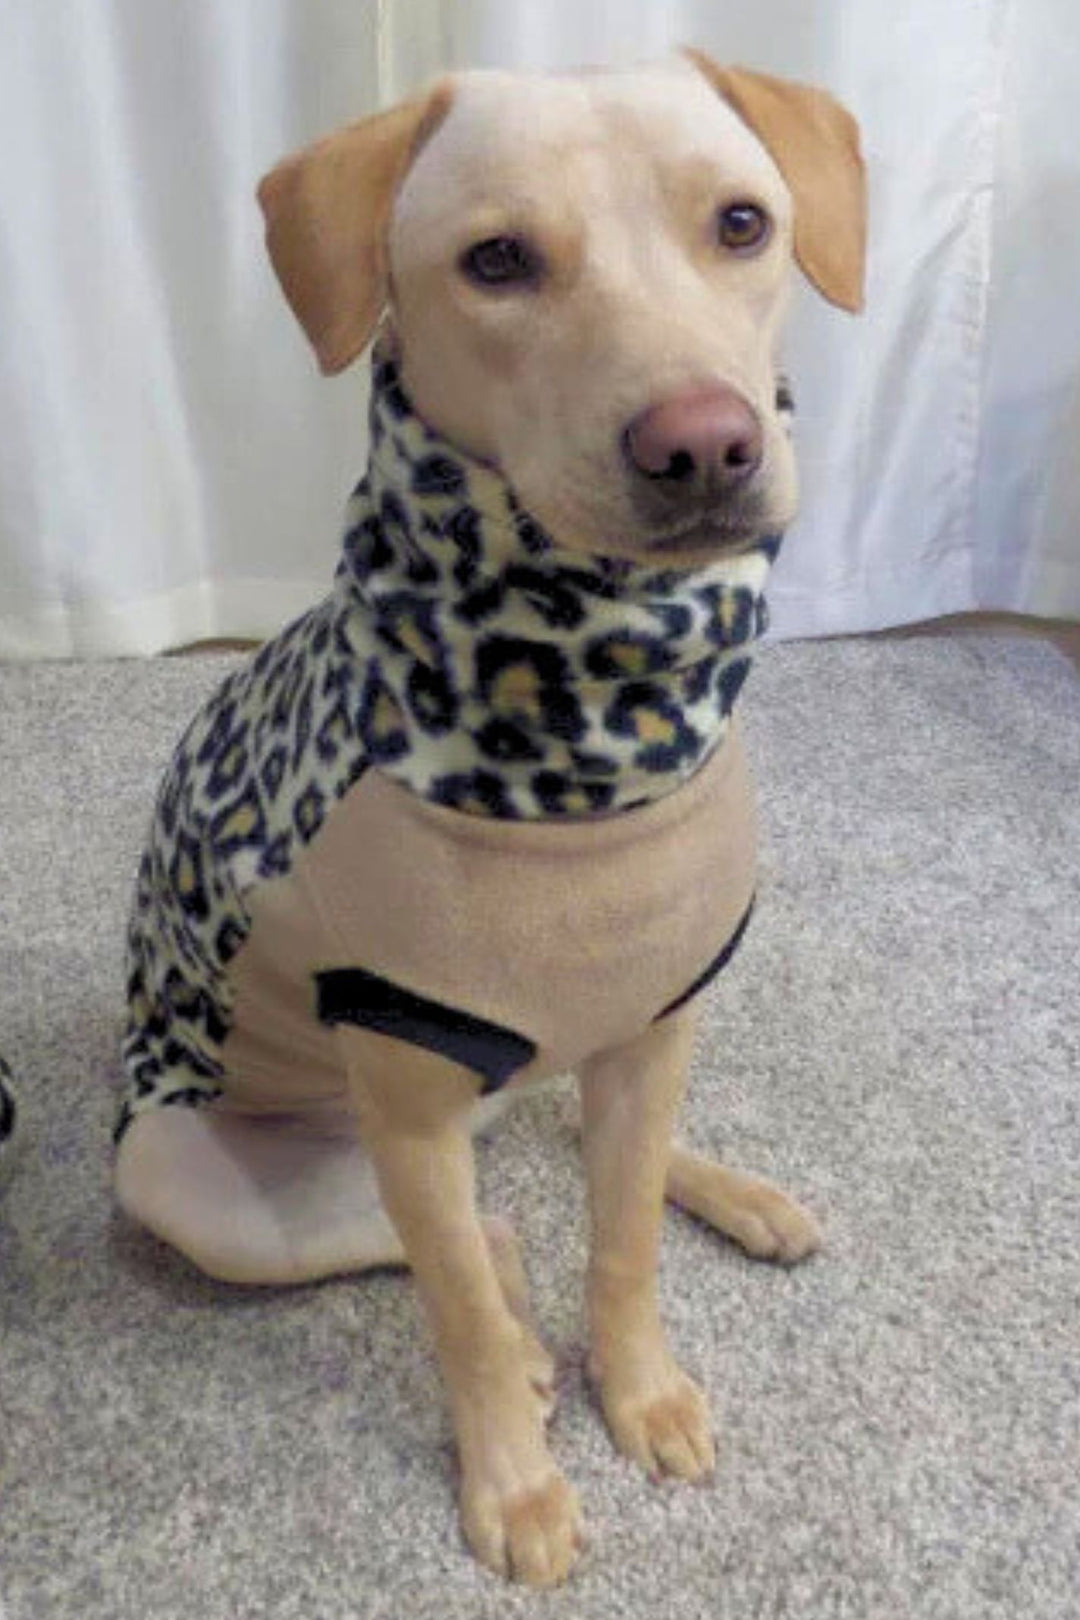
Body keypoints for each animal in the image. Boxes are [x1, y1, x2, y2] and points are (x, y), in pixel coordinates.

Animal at [114, 47, 867, 1581]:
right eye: (498, 261)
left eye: (743, 225)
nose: (706, 444)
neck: (588, 733)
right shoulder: (410, 1097)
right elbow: (460, 1304)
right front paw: (516, 1481)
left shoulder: (656, 1024)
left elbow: (623, 1240)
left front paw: (640, 1391)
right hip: (202, 1172)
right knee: (483, 1242)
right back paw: (524, 1353)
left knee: (566, 1162)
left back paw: (742, 1200)